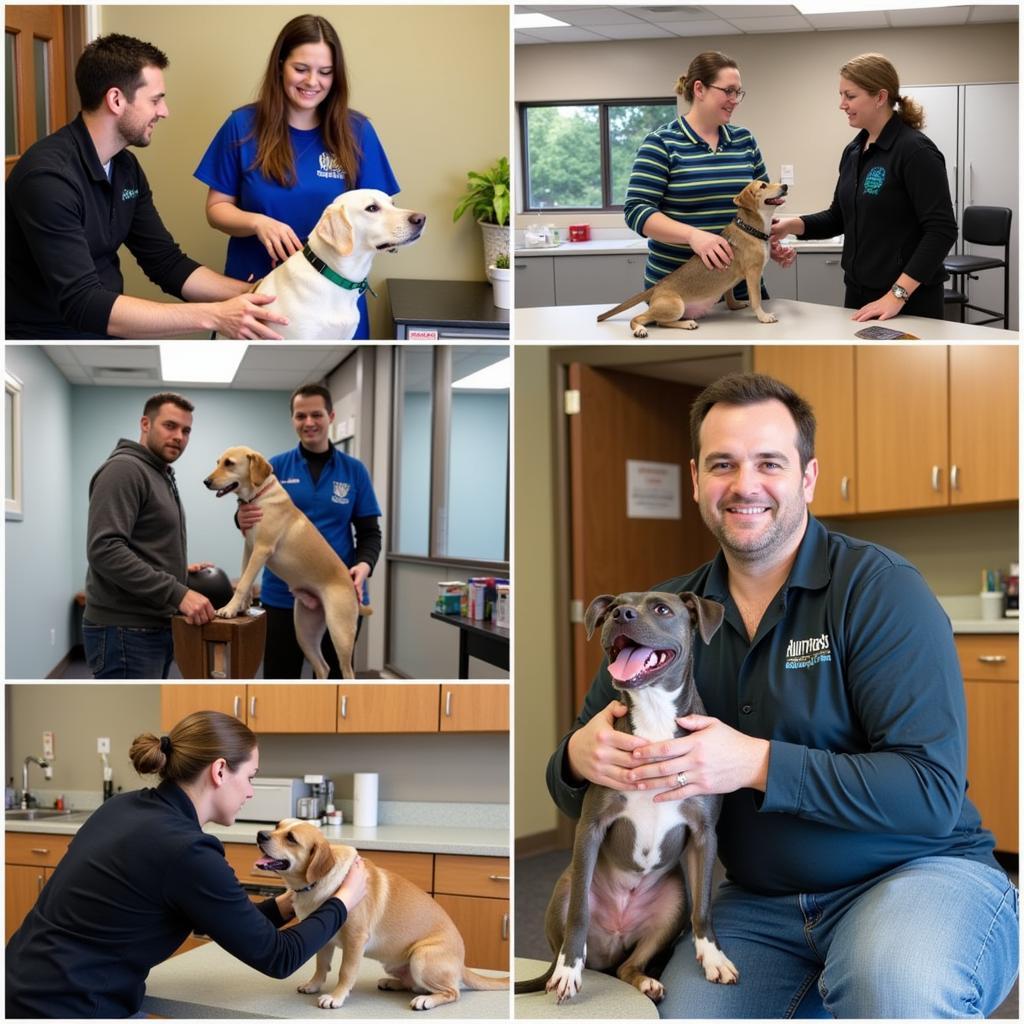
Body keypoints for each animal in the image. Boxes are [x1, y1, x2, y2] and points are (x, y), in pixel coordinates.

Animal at [201, 448, 366, 679]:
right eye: (218, 462)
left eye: (229, 463)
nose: (206, 481)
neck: (259, 496)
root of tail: (351, 584)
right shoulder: (249, 548)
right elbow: (245, 577)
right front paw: (242, 606)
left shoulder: (261, 549)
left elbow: (243, 583)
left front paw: (229, 609)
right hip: (305, 631)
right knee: (323, 667)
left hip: (340, 633)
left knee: (346, 671)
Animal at [256, 819, 512, 1011]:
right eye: (277, 825)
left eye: (291, 838)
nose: (260, 834)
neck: (314, 885)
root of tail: (461, 965)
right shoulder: (324, 939)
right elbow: (321, 966)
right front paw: (313, 985)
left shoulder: (355, 940)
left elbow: (345, 972)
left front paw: (336, 997)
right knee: (414, 984)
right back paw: (392, 983)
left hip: (421, 957)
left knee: (452, 992)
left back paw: (426, 1000)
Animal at [516, 593, 741, 999]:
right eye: (612, 608)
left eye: (662, 609)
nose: (621, 614)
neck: (654, 719)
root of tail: (612, 943)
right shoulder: (590, 828)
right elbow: (578, 915)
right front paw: (569, 971)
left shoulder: (704, 834)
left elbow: (704, 907)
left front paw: (713, 957)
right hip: (567, 885)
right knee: (576, 933)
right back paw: (565, 968)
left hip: (672, 905)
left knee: (628, 966)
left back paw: (647, 981)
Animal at [598, 177, 786, 335]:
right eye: (763, 186)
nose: (785, 186)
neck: (750, 229)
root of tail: (657, 287)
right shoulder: (753, 273)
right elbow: (756, 299)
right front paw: (763, 316)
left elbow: (729, 293)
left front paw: (735, 305)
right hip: (675, 306)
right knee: (642, 319)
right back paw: (642, 329)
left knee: (660, 322)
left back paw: (686, 323)